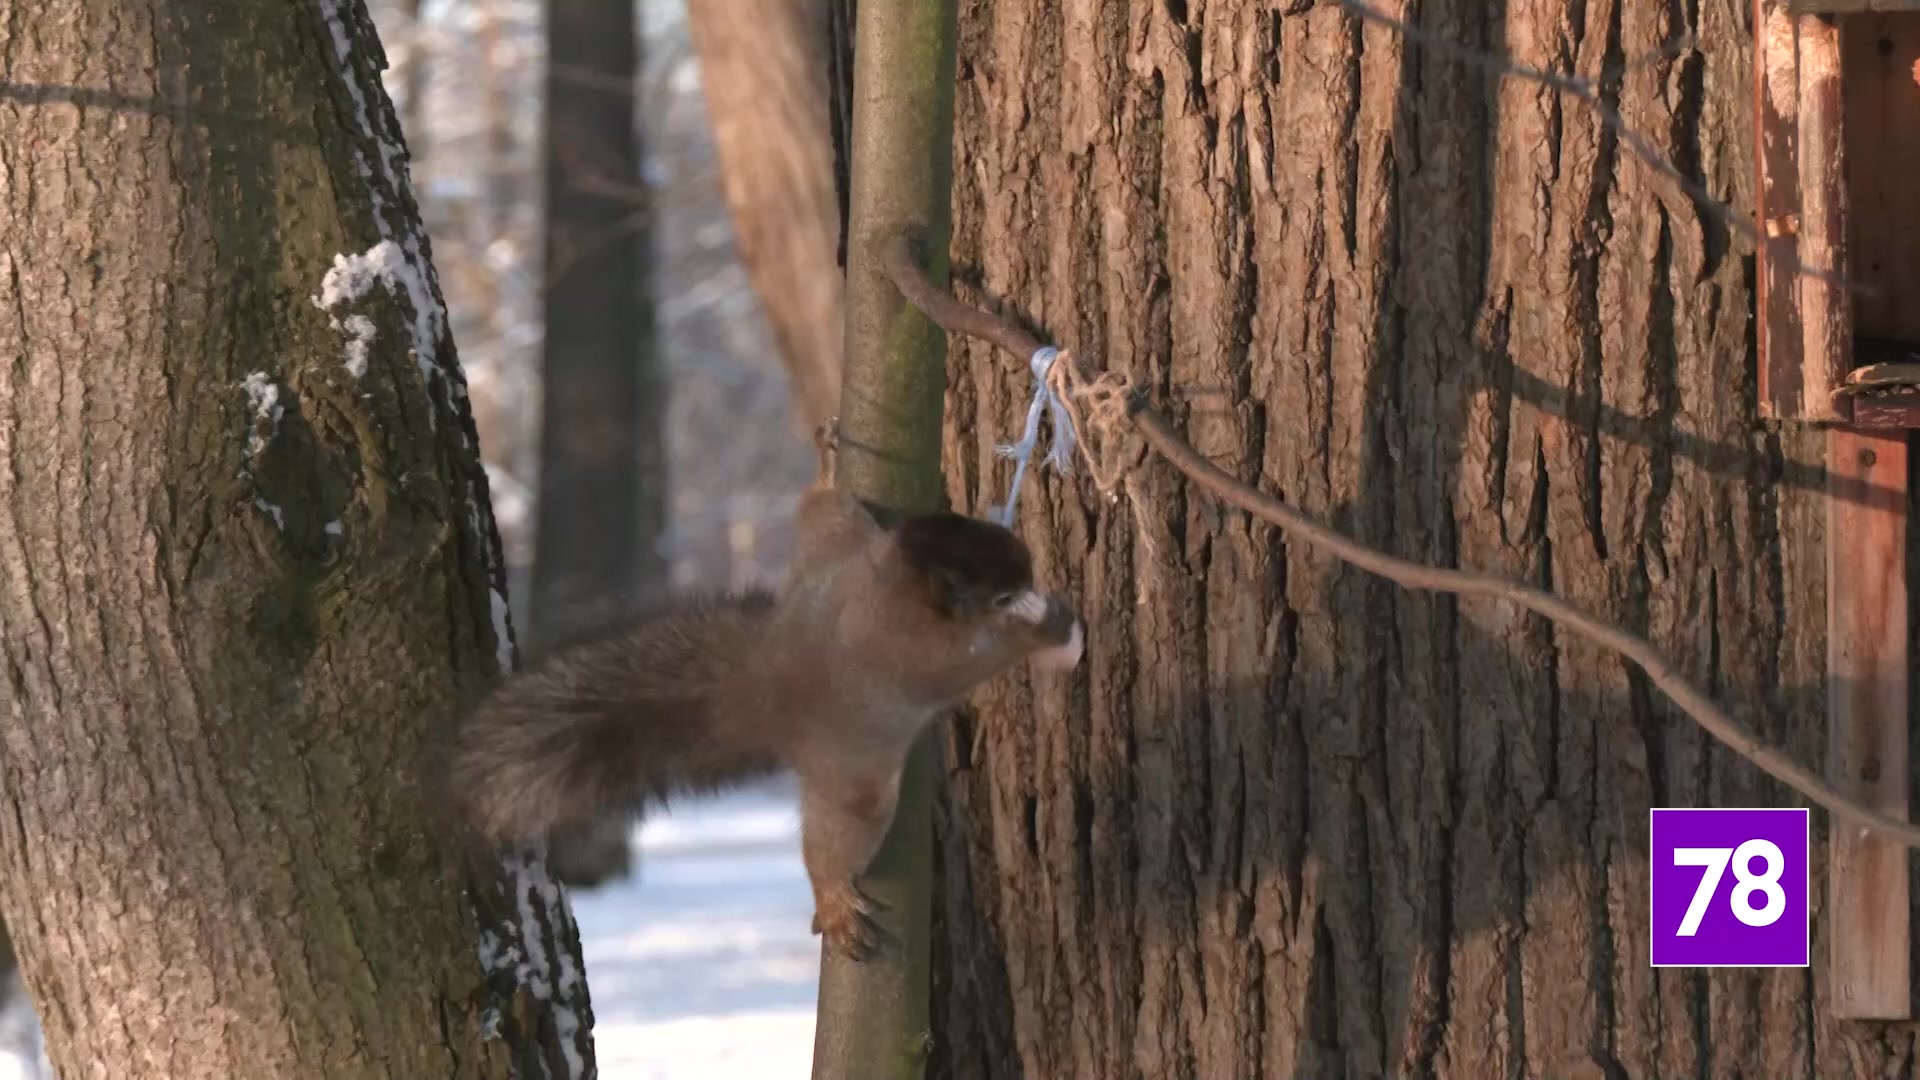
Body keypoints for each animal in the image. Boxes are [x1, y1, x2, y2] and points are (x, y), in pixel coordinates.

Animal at [441, 417, 1090, 953]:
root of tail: (773, 684)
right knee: (836, 842)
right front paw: (1051, 629)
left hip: (826, 554)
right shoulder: (931, 650)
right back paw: (833, 897)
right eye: (999, 593)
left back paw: (826, 470)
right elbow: (987, 652)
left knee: (823, 510)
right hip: (855, 780)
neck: (896, 588)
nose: (1032, 580)